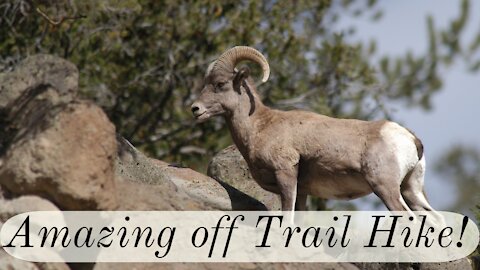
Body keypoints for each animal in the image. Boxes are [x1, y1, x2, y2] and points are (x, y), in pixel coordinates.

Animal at [190, 46, 436, 215]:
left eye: (220, 84)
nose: (195, 109)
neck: (260, 126)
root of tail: (411, 140)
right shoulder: (303, 191)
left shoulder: (286, 175)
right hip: (410, 190)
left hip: (386, 188)